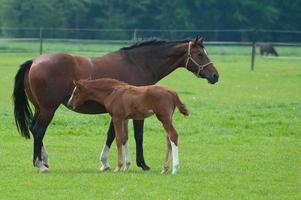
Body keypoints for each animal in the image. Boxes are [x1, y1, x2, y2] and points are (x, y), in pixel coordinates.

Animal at [12, 36, 218, 172]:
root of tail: (34, 61)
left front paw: (105, 162)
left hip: (40, 108)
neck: (139, 64)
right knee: (39, 130)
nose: (215, 75)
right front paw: (141, 164)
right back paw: (40, 164)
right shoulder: (136, 114)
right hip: (48, 109)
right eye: (200, 54)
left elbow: (113, 135)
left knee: (34, 129)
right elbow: (137, 137)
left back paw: (43, 160)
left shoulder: (120, 112)